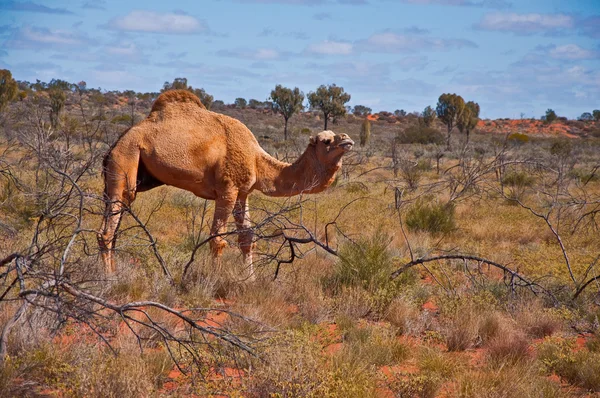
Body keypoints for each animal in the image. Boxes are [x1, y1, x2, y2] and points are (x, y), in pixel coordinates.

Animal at [97, 89, 352, 278]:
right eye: (326, 141)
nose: (347, 139)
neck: (256, 159)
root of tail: (115, 144)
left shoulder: (243, 192)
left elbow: (247, 238)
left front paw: (250, 280)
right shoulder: (228, 189)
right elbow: (218, 239)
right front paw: (215, 280)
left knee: (115, 223)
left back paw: (113, 271)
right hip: (125, 158)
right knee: (108, 229)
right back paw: (108, 278)